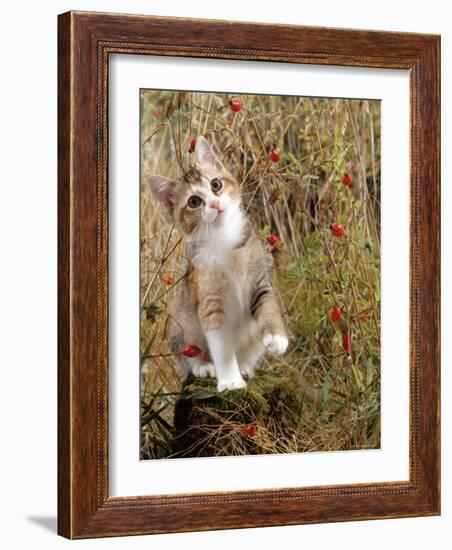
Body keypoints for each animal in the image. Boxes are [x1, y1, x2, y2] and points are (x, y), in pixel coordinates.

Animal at [149, 137, 290, 392]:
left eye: (216, 185)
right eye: (194, 201)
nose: (215, 204)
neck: (223, 239)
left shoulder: (259, 281)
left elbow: (267, 306)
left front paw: (277, 337)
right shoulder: (211, 301)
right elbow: (221, 346)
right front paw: (230, 381)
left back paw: (245, 366)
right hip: (179, 323)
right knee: (186, 355)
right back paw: (204, 366)